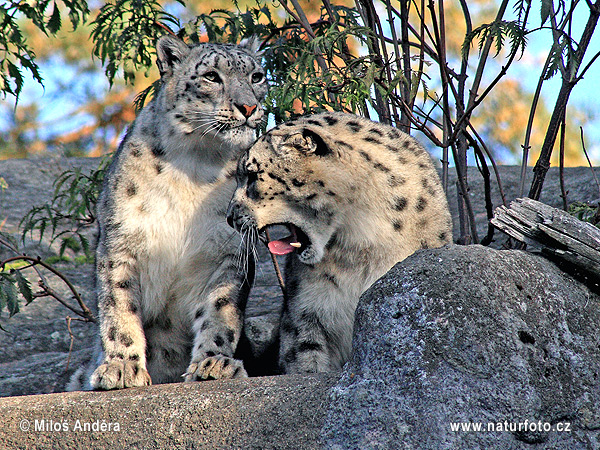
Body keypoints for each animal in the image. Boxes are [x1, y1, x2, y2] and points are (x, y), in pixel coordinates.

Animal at [68, 34, 268, 390]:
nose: (248, 107)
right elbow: (119, 306)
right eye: (211, 76)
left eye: (257, 77)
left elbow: (220, 311)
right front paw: (122, 367)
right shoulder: (121, 242)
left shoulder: (231, 251)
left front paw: (213, 363)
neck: (197, 165)